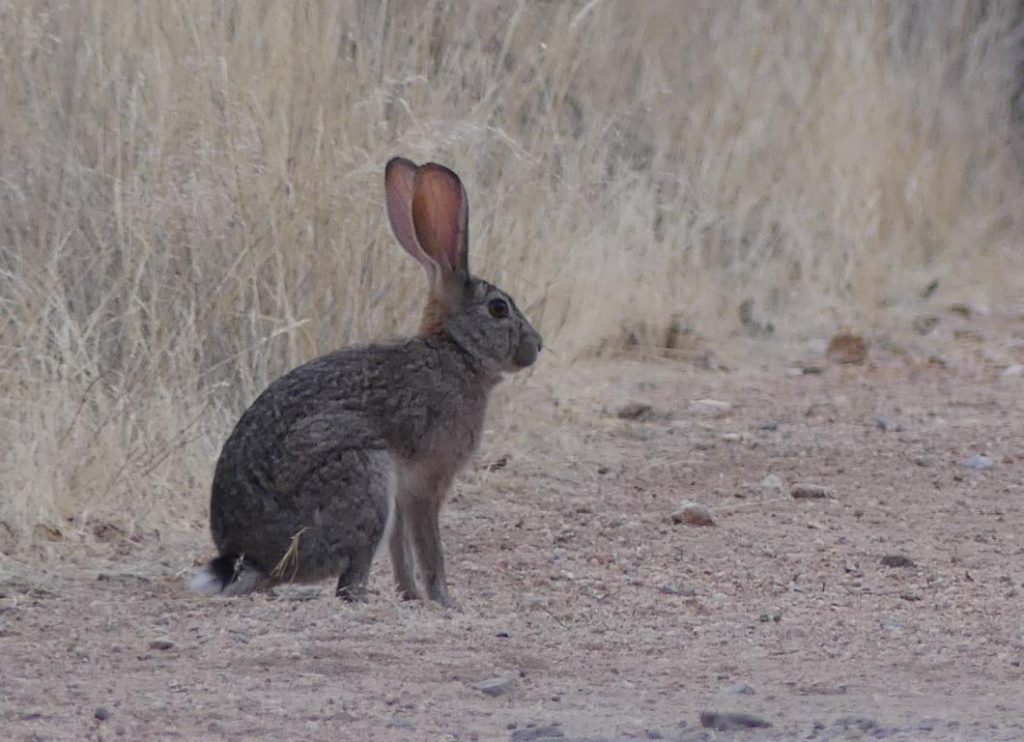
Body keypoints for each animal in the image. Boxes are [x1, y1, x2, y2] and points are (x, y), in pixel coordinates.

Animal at [189, 157, 542, 606]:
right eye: (499, 309)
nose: (537, 346)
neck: (455, 350)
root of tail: (252, 558)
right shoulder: (426, 483)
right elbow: (429, 547)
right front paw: (444, 600)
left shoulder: (405, 494)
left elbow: (401, 550)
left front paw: (411, 596)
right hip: (364, 477)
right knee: (347, 583)